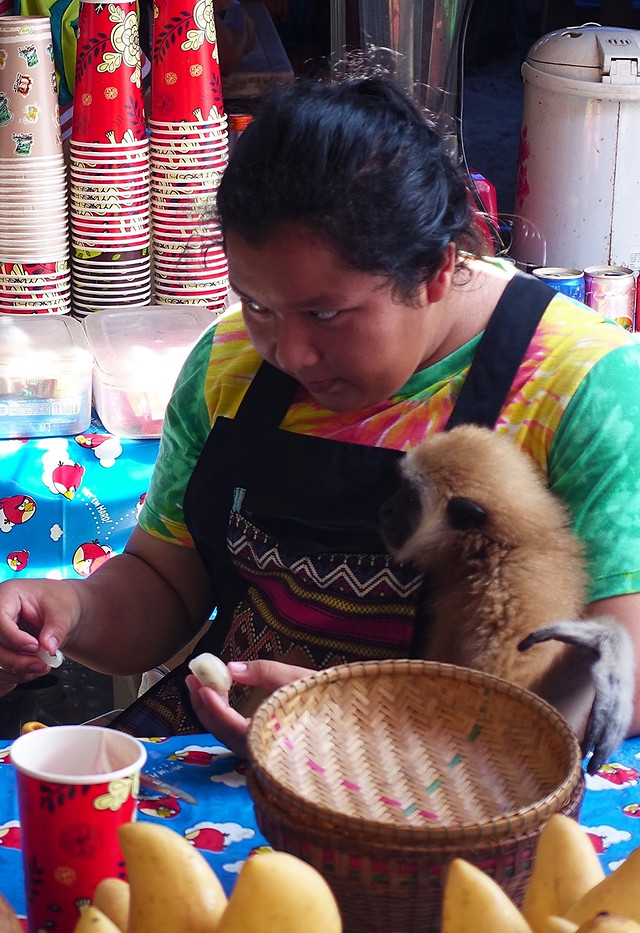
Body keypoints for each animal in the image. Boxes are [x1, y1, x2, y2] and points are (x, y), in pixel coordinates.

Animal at [380, 422, 636, 772]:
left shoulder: (512, 593)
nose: (386, 508)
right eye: (400, 491)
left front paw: (604, 642)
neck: (494, 549)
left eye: (408, 497)